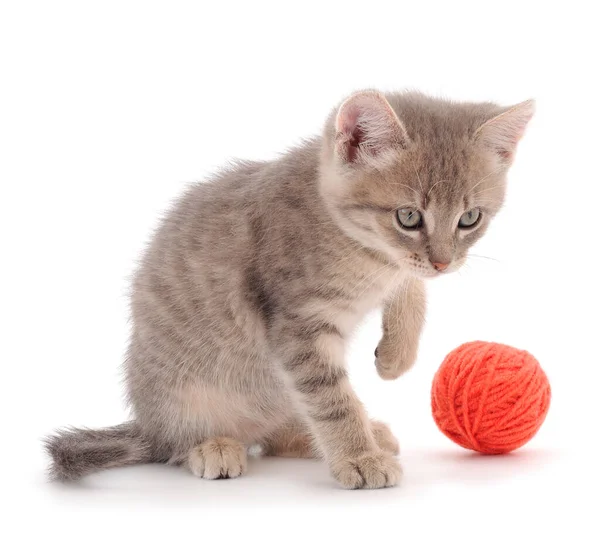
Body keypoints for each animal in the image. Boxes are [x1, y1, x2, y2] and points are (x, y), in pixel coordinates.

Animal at [47, 91, 536, 492]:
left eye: (469, 219)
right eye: (409, 217)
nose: (443, 263)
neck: (365, 255)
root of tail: (147, 425)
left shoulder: (396, 272)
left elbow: (410, 288)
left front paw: (397, 356)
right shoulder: (297, 325)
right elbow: (333, 399)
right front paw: (358, 457)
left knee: (277, 435)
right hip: (183, 394)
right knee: (178, 444)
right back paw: (213, 447)